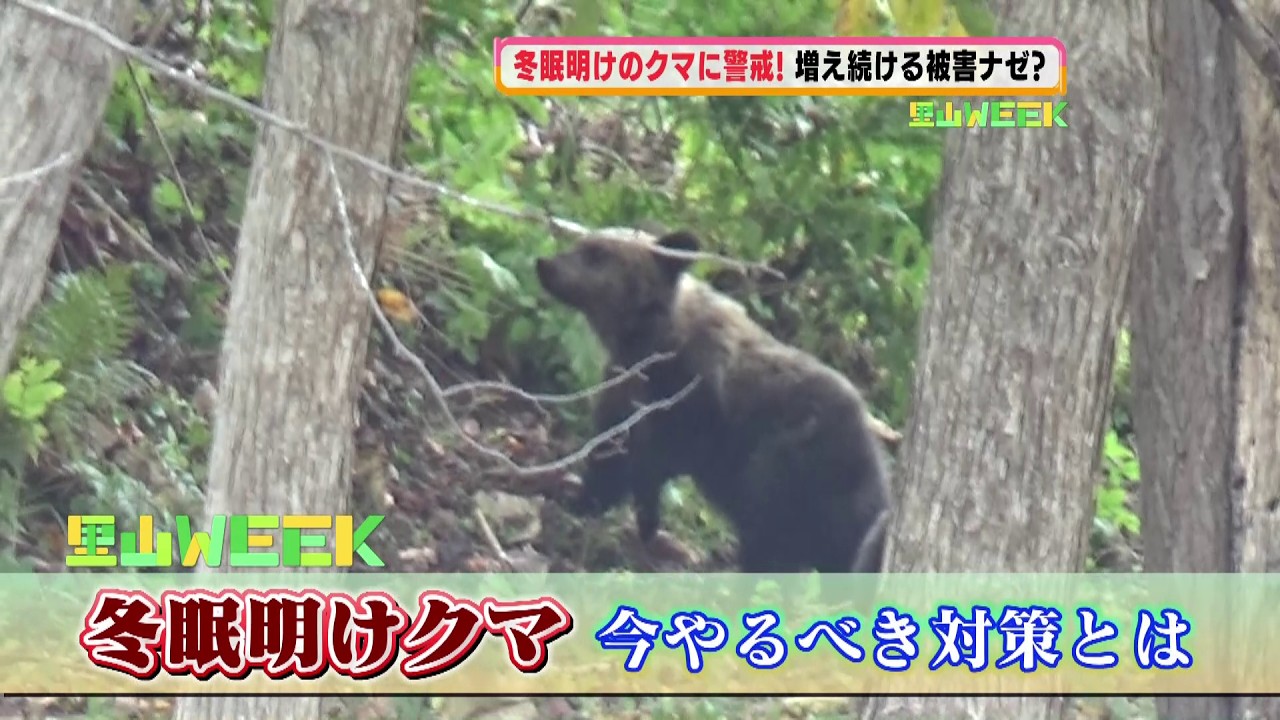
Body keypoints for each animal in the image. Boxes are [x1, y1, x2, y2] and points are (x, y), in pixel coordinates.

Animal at [534, 228, 891, 574]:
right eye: (581, 242)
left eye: (598, 253)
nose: (545, 263)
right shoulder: (624, 390)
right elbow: (609, 453)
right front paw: (585, 502)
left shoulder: (700, 407)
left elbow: (658, 458)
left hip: (803, 469)